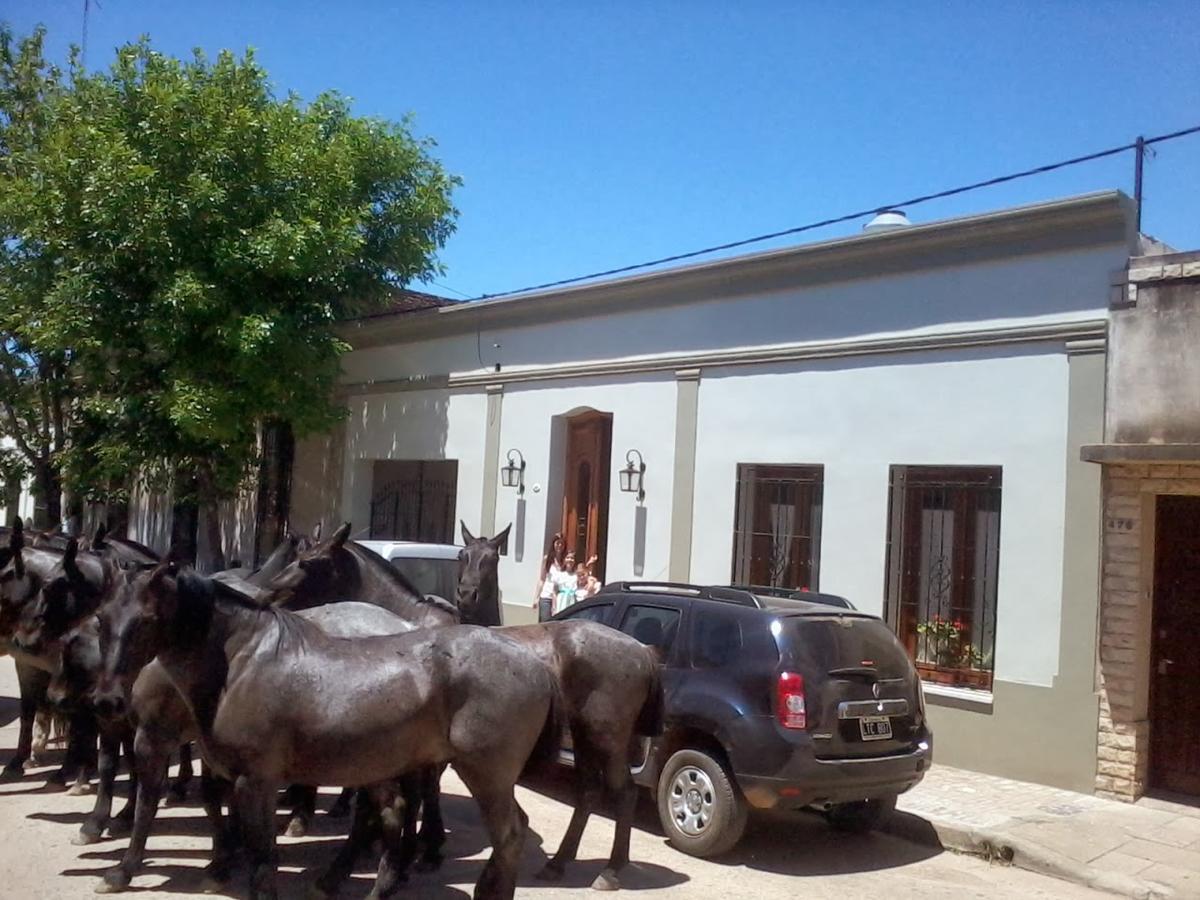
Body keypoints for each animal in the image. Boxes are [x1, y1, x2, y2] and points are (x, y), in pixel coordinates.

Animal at [458, 525, 667, 892]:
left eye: (491, 558)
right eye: (463, 555)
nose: (467, 595)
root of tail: (643, 650)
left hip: (608, 738)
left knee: (624, 793)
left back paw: (611, 870)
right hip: (584, 735)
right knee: (588, 792)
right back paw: (558, 863)